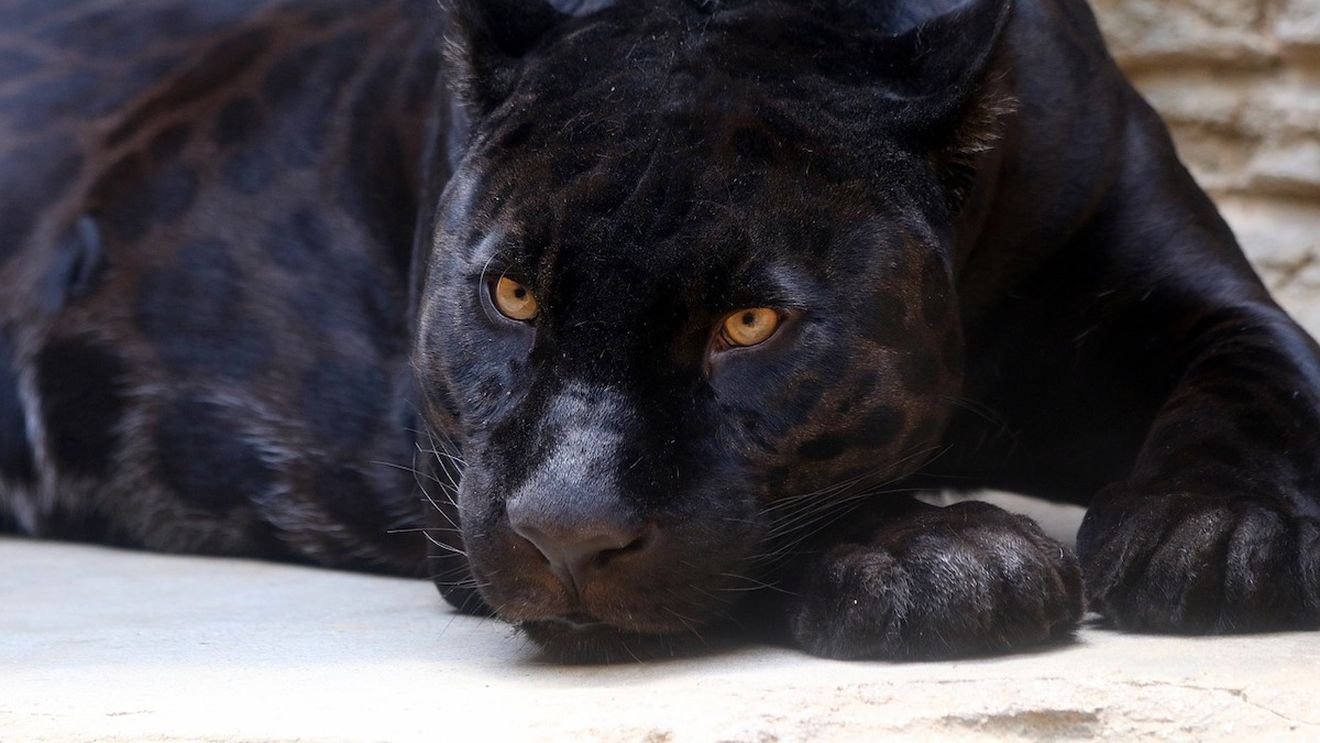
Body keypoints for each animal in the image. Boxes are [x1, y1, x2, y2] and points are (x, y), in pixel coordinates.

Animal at [2, 0, 1318, 662]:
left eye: (751, 321)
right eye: (512, 294)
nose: (569, 534)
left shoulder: (1185, 288)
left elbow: (1267, 378)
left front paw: (1218, 533)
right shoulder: (452, 477)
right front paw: (943, 554)